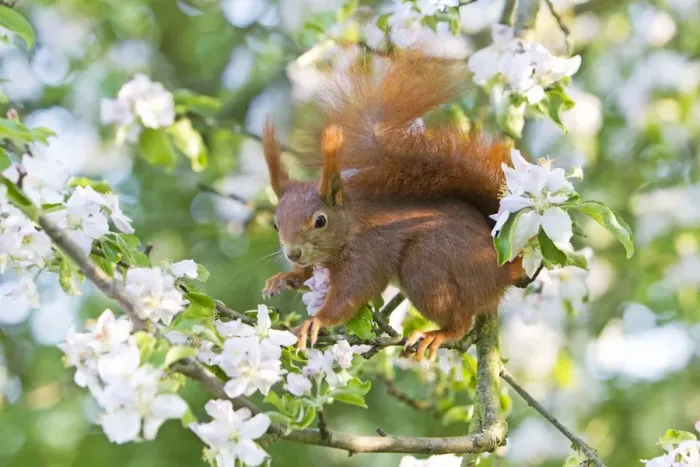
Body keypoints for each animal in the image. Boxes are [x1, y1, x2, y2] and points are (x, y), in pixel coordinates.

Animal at [261, 50, 525, 362]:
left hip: (427, 266)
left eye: (320, 221)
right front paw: (284, 278)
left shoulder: (368, 251)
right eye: (275, 224)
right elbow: (309, 276)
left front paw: (318, 320)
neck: (350, 225)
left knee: (459, 322)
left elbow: (352, 294)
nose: (293, 253)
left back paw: (438, 334)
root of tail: (502, 270)